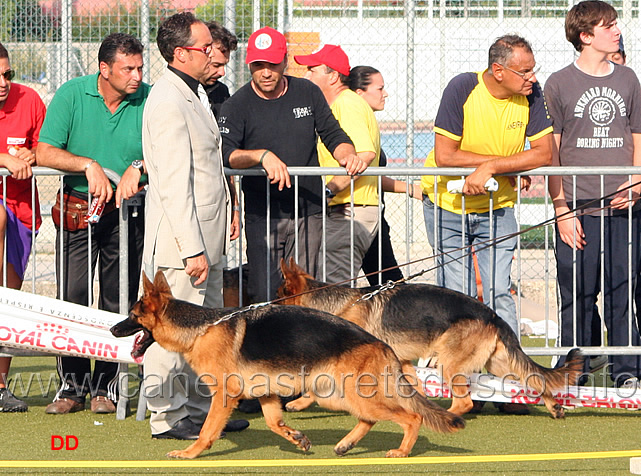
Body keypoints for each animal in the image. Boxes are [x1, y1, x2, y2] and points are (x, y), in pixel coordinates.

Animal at [111, 274, 464, 460]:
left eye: (132, 315)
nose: (113, 329)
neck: (200, 329)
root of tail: (381, 344)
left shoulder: (225, 396)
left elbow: (209, 430)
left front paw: (191, 453)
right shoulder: (266, 393)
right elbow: (273, 422)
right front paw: (296, 437)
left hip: (349, 394)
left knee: (412, 417)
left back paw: (401, 451)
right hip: (338, 396)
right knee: (369, 418)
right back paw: (346, 444)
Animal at [276, 258, 584, 418]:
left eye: (279, 294)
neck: (336, 305)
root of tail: (493, 315)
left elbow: (315, 387)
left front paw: (299, 403)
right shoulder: (402, 362)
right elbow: (412, 386)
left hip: (449, 363)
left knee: (465, 402)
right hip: (498, 364)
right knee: (535, 379)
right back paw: (554, 406)